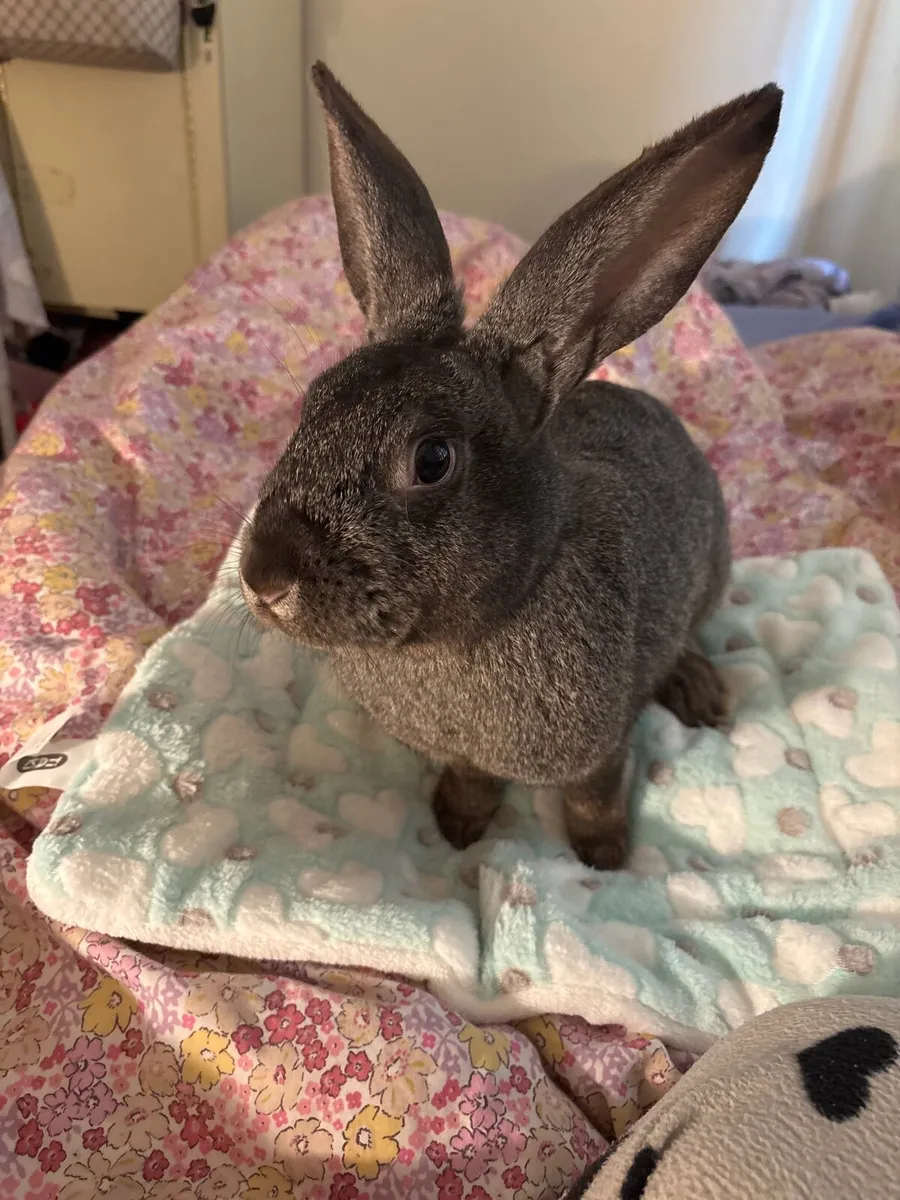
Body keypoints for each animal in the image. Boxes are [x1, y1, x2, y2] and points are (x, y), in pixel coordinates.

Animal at [239, 62, 782, 869]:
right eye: (312, 404)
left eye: (432, 458)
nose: (263, 576)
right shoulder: (466, 753)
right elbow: (471, 777)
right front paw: (459, 827)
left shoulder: (599, 747)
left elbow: (593, 795)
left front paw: (603, 857)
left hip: (709, 571)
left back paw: (698, 691)